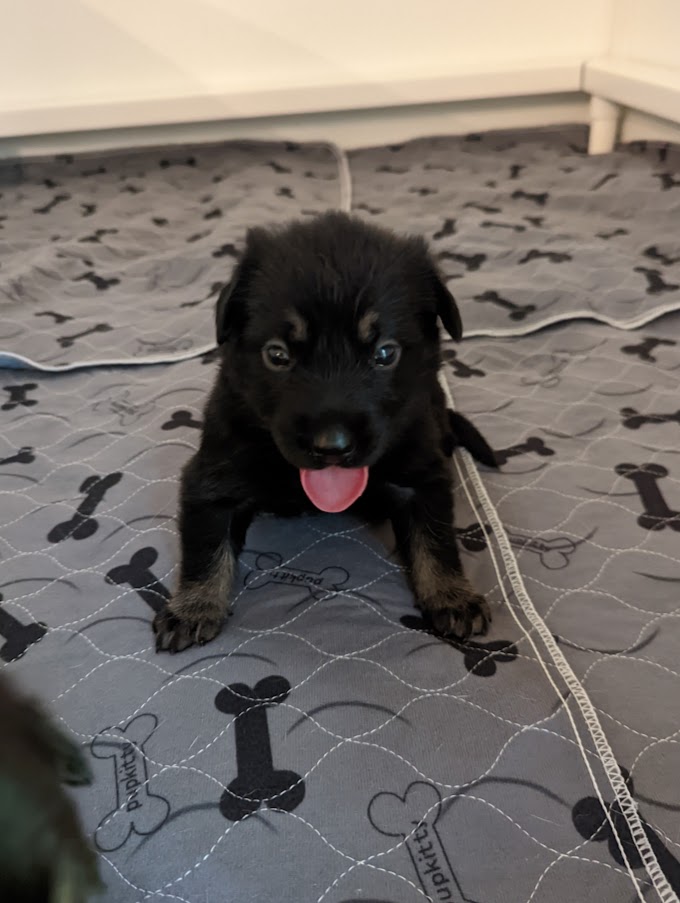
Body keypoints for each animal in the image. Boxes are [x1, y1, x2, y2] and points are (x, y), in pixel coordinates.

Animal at [153, 211, 496, 653]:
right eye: (277, 355)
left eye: (385, 353)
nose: (332, 446)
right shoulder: (213, 472)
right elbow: (205, 543)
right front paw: (193, 606)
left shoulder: (423, 471)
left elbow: (436, 539)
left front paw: (452, 595)